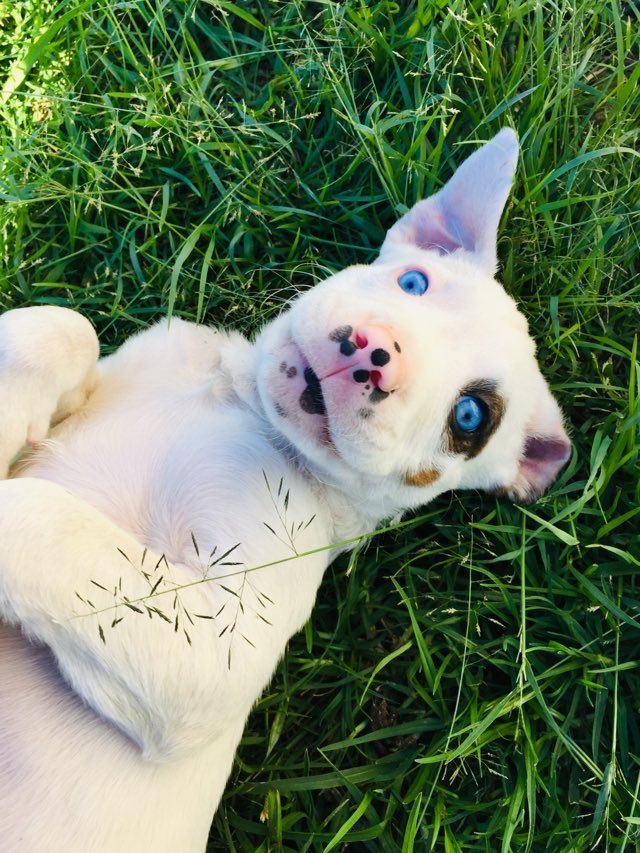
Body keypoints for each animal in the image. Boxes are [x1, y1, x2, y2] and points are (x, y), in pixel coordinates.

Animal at [0, 128, 570, 851]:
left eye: (469, 418)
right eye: (413, 281)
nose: (374, 350)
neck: (246, 408)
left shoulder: (215, 648)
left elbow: (49, 522)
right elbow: (66, 327)